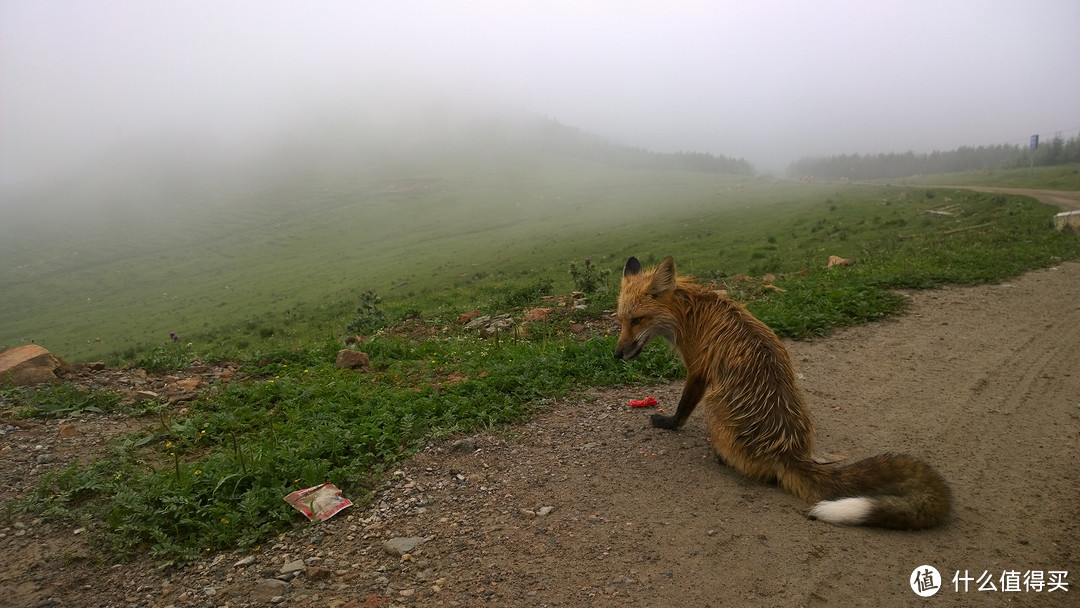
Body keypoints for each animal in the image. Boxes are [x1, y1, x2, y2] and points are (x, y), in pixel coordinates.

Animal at [617, 254, 954, 531]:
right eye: (620, 320)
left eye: (637, 320)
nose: (617, 354)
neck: (690, 311)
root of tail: (787, 450)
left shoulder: (698, 371)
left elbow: (684, 407)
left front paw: (670, 424)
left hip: (714, 405)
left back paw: (722, 457)